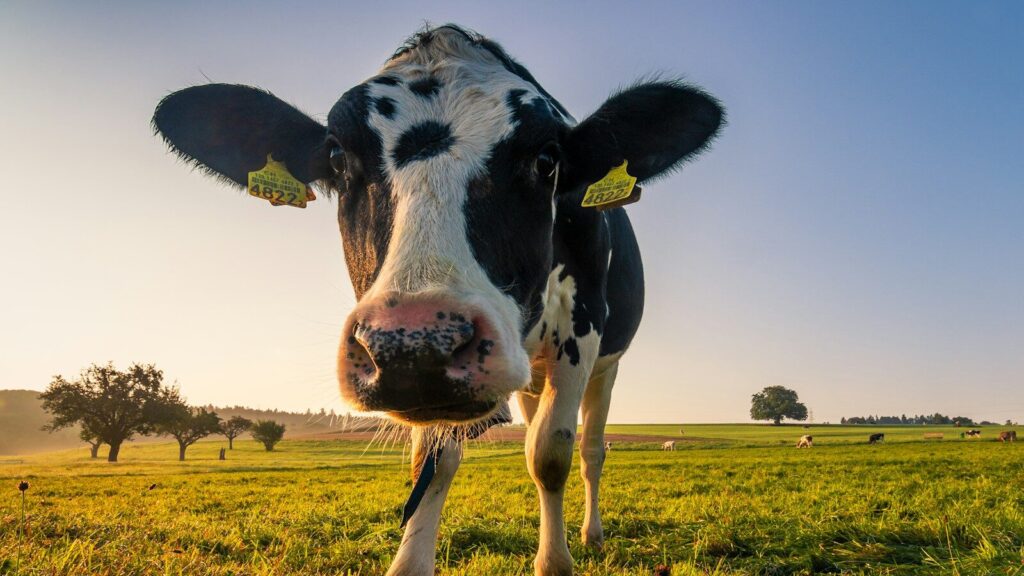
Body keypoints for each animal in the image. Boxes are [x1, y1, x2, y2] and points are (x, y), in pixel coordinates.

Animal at [151, 24, 722, 576]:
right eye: (337, 157)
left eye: (547, 160)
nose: (414, 345)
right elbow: (435, 459)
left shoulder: (580, 331)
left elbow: (551, 454)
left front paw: (555, 561)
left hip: (607, 364)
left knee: (590, 450)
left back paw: (591, 533)